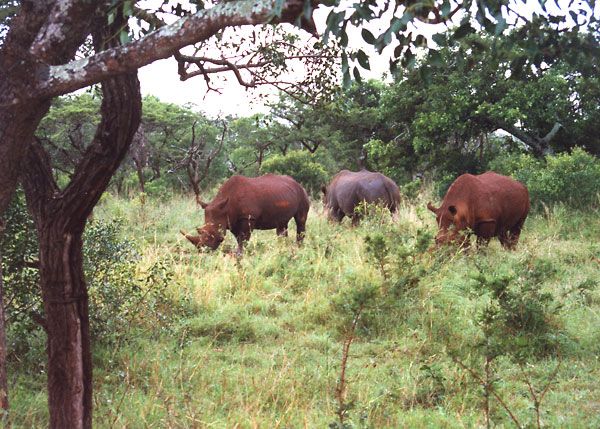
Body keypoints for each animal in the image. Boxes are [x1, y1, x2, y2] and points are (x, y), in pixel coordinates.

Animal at [179, 174, 310, 254]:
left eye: (216, 236)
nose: (203, 250)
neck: (226, 205)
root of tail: (296, 182)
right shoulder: (231, 220)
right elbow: (239, 238)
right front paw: (239, 253)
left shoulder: (248, 218)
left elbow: (244, 239)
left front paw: (240, 254)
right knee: (282, 224)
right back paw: (282, 248)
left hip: (302, 193)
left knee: (300, 220)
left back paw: (299, 248)